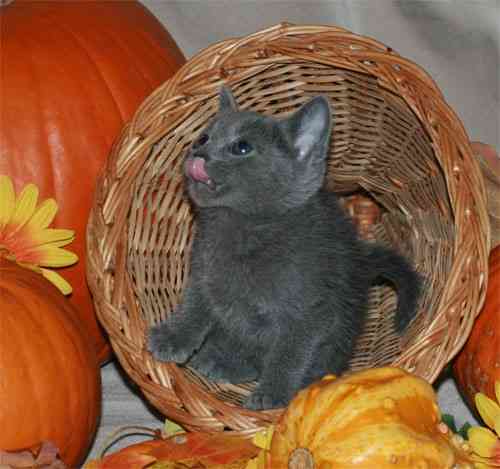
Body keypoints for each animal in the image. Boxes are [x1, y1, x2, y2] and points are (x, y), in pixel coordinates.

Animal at [149, 87, 422, 410]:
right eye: (204, 138)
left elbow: (289, 352)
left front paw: (274, 393)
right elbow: (193, 307)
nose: (198, 153)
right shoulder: (202, 273)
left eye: (242, 147)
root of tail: (361, 261)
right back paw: (217, 360)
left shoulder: (308, 312)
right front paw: (173, 337)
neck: (242, 229)